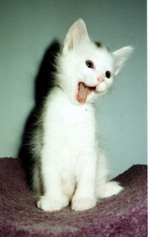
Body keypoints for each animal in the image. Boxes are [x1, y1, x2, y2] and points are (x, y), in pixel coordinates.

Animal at [30, 18, 132, 211]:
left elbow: (87, 176)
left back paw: (104, 188)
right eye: (89, 64)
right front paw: (53, 198)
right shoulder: (48, 145)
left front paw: (84, 199)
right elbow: (50, 174)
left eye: (108, 74)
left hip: (101, 157)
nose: (101, 79)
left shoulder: (89, 147)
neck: (74, 110)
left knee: (97, 182)